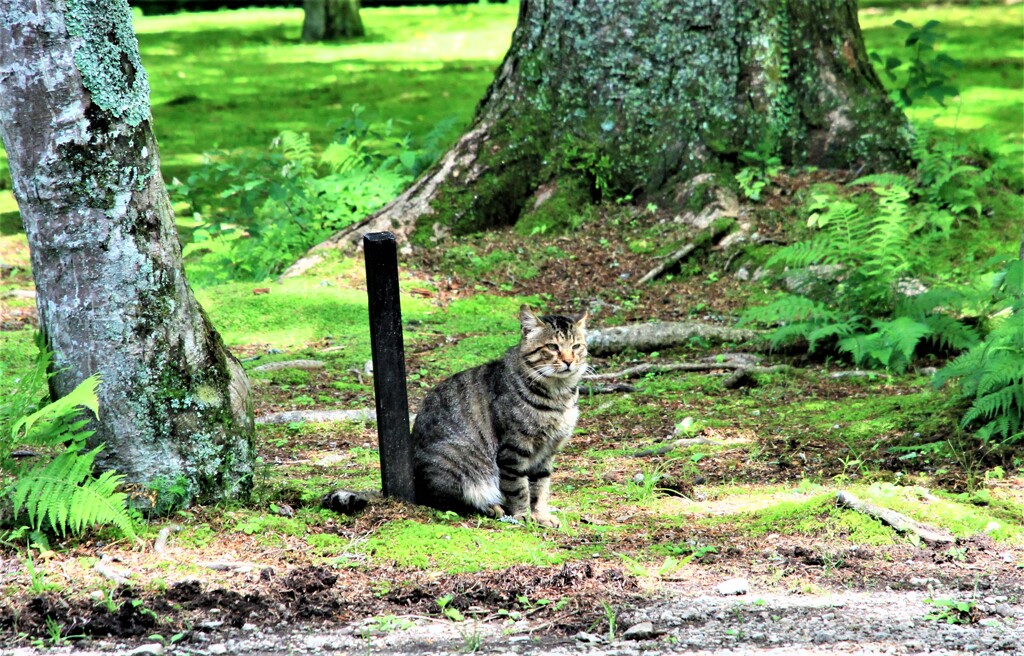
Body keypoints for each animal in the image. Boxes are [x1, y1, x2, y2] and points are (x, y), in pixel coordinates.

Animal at [409, 304, 589, 523]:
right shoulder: (514, 451)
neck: (558, 396)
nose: (569, 361)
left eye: (576, 346)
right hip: (457, 463)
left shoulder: (547, 452)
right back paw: (492, 507)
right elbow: (518, 488)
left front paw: (541, 514)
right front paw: (523, 516)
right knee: (451, 501)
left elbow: (540, 487)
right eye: (553, 347)